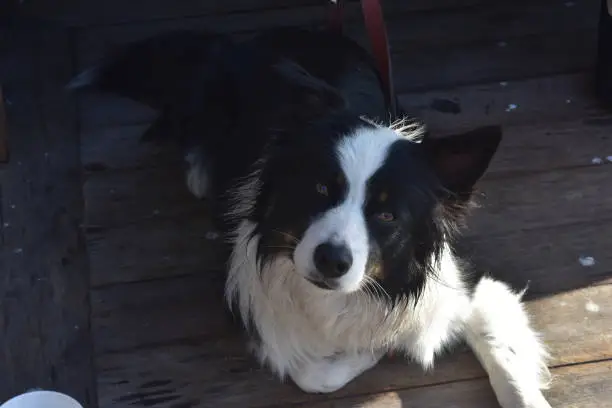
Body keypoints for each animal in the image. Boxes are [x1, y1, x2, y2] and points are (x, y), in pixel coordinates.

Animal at [70, 27, 548, 406]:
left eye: (387, 214)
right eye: (320, 189)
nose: (331, 261)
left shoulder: (465, 287)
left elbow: (504, 357)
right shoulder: (250, 303)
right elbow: (314, 373)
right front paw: (376, 349)